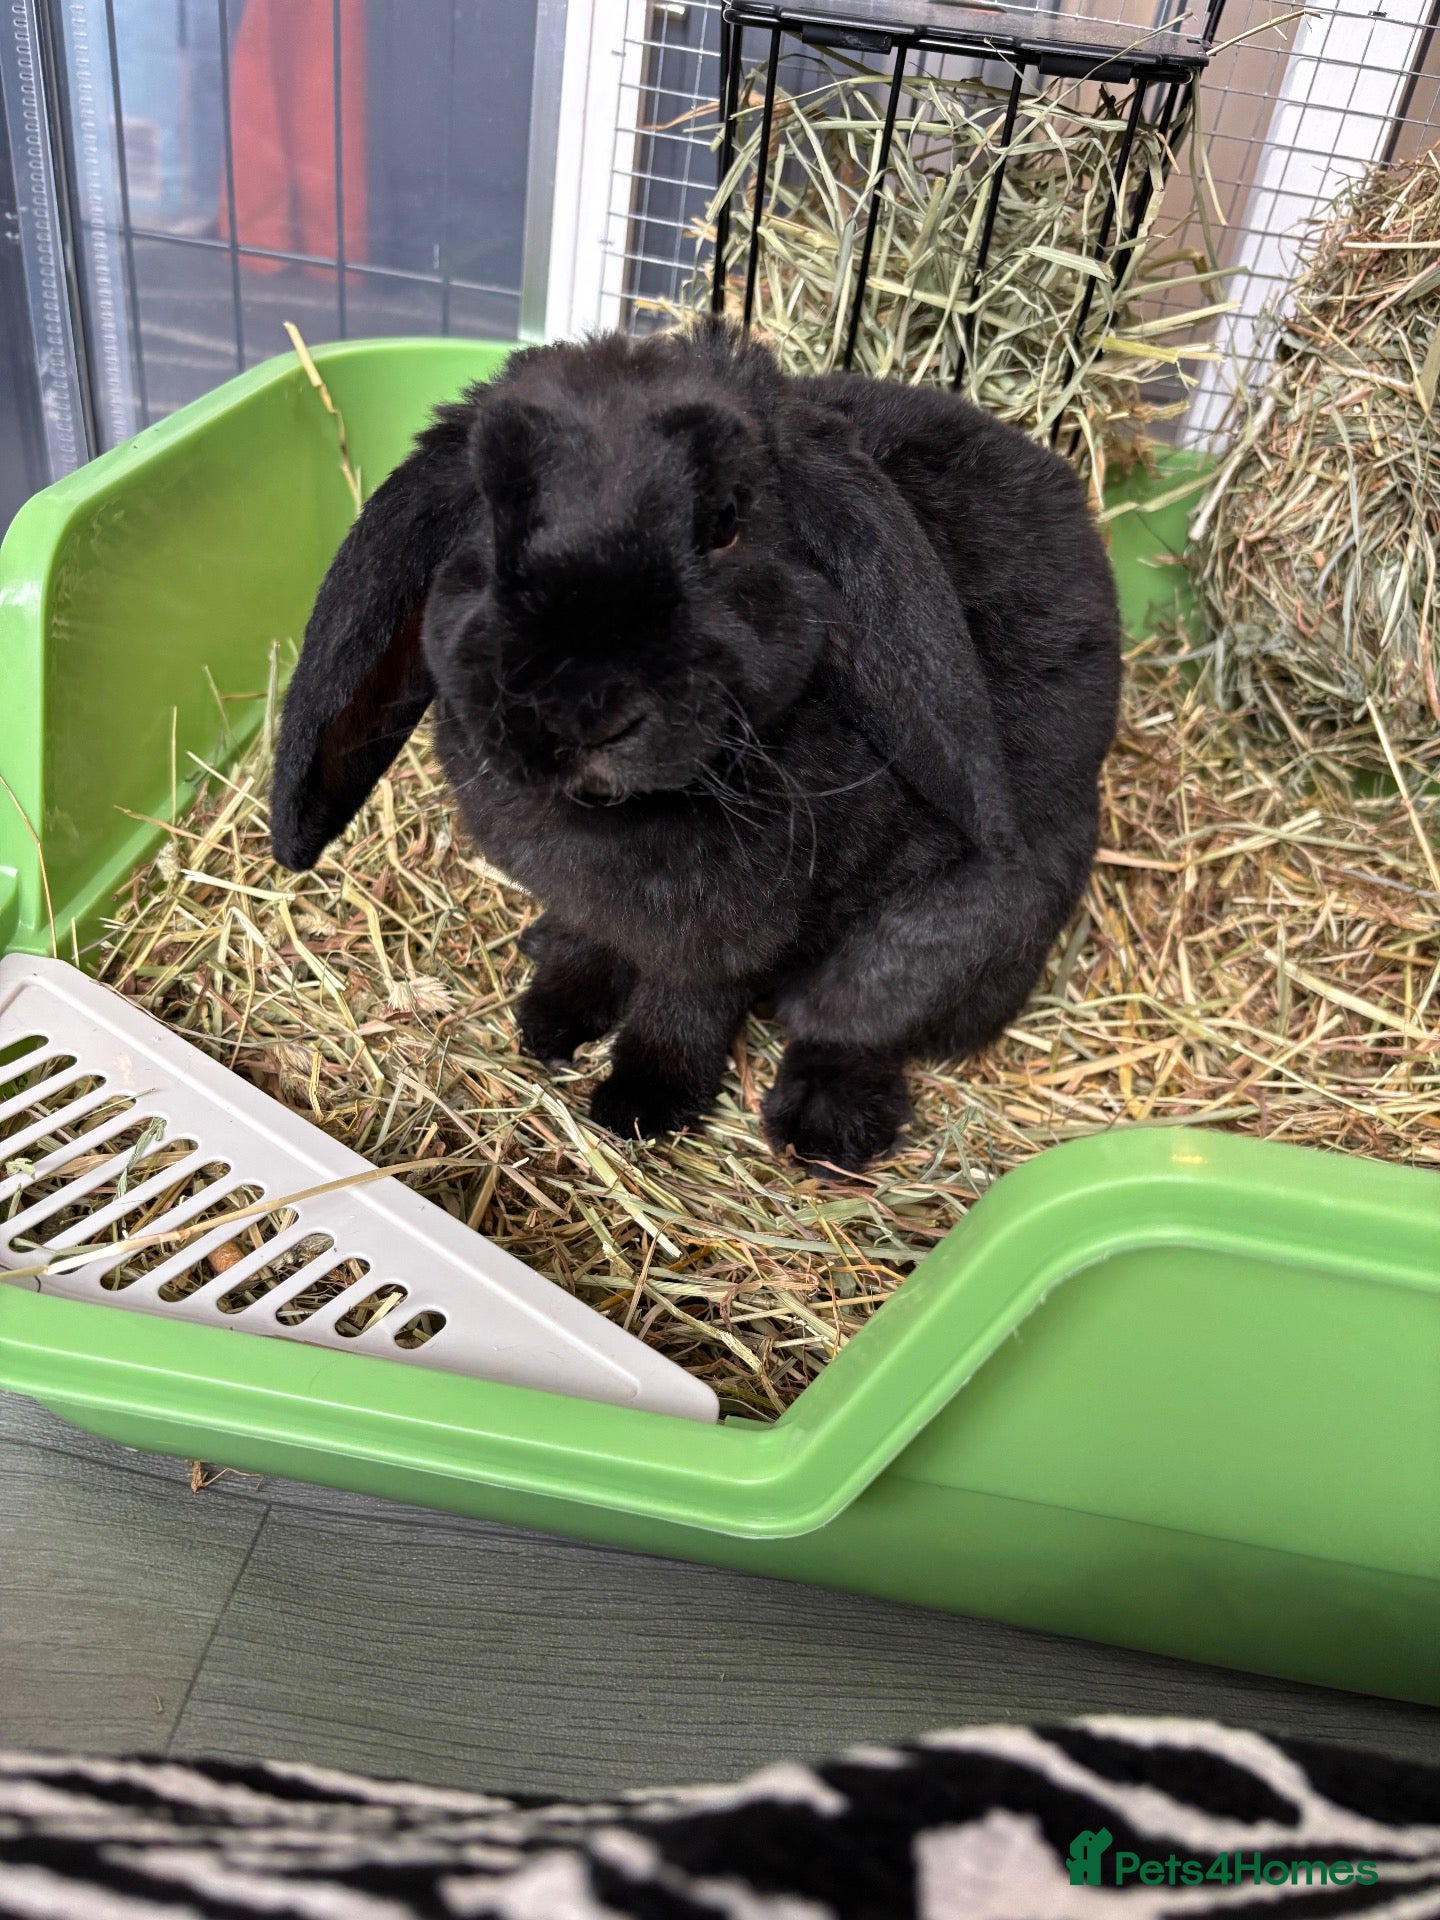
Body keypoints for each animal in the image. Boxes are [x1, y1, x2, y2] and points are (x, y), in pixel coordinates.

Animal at [270, 321, 1120, 1171]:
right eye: (487, 519)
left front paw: (643, 1102)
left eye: (726, 524)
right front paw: (552, 1017)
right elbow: (593, 942)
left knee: (850, 1024)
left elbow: (686, 1006)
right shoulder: (598, 905)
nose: (581, 714)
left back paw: (824, 1129)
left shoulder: (721, 937)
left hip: (938, 937)